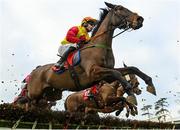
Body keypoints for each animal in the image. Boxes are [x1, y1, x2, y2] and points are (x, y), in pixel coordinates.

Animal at [26, 1, 155, 107]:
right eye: (119, 8)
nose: (139, 19)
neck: (101, 46)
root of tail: (34, 71)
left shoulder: (106, 75)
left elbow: (132, 68)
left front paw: (150, 84)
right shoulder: (93, 72)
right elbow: (117, 73)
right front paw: (130, 93)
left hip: (51, 94)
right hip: (34, 93)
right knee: (28, 102)